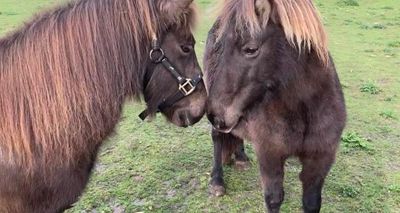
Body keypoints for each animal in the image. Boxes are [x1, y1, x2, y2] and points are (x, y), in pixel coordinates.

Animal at [205, 0, 346, 213]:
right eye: (220, 47)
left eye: (251, 49)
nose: (216, 115)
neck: (302, 111)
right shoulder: (270, 155)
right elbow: (274, 199)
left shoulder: (320, 160)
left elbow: (312, 202)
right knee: (217, 137)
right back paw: (217, 182)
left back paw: (241, 158)